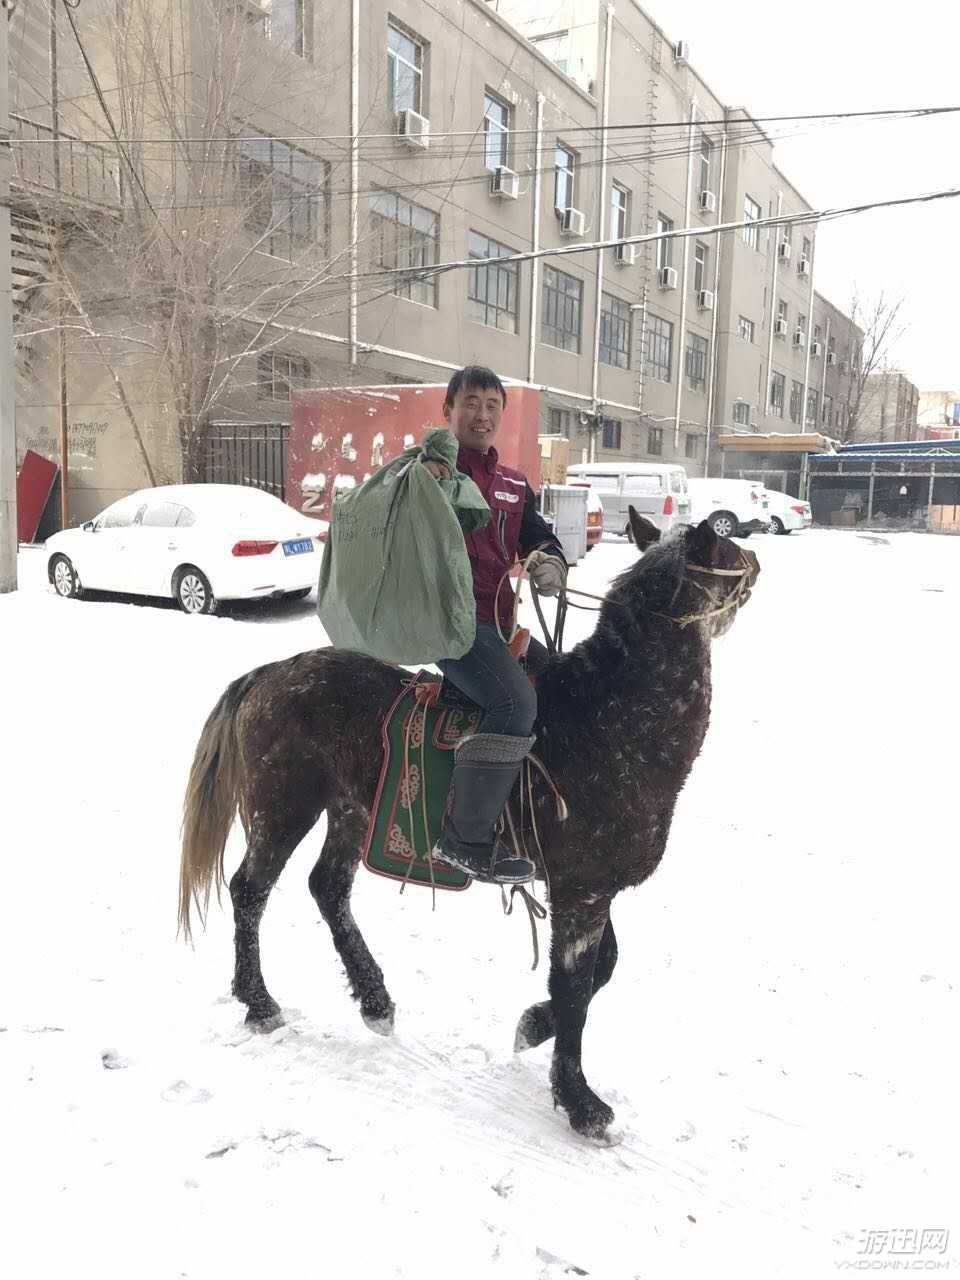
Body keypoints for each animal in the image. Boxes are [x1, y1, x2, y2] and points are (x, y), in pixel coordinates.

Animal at [179, 509, 759, 1139]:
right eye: (728, 547)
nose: (756, 561)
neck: (607, 718)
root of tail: (270, 674)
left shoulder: (585, 888)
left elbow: (601, 970)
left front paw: (533, 1025)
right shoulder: (582, 890)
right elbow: (576, 988)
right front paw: (579, 1101)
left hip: (351, 810)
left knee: (327, 888)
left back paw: (374, 1000)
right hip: (284, 808)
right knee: (250, 891)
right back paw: (259, 1003)